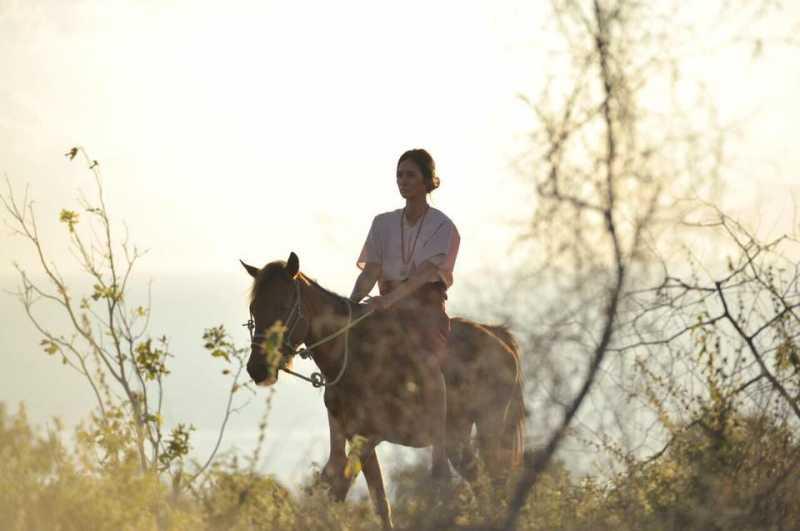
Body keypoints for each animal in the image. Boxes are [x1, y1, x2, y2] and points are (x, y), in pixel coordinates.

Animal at [241, 255, 524, 531]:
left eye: (282, 307)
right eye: (254, 308)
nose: (258, 368)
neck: (357, 355)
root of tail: (499, 337)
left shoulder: (370, 437)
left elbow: (343, 490)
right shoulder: (350, 434)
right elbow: (366, 498)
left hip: (489, 426)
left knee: (495, 480)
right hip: (457, 436)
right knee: (477, 479)